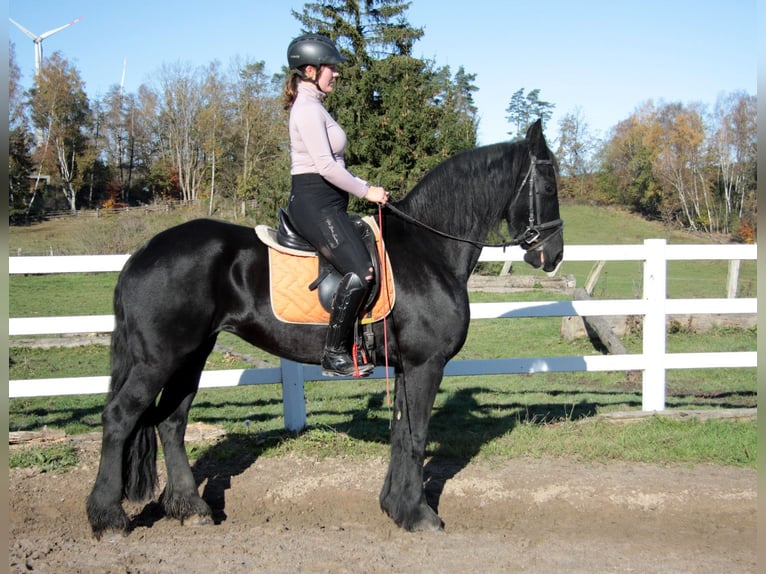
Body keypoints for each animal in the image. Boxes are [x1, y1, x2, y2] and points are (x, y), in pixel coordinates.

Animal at [85, 120, 564, 540]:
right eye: (549, 186)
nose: (554, 255)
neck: (429, 250)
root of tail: (142, 253)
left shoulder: (404, 367)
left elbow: (400, 433)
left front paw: (395, 506)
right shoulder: (425, 365)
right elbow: (415, 436)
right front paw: (418, 514)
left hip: (192, 355)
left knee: (171, 421)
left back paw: (191, 509)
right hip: (158, 359)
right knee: (120, 417)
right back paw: (108, 518)